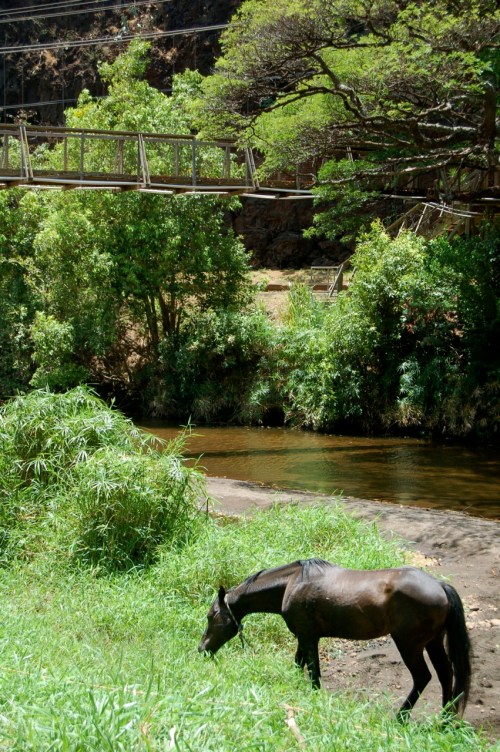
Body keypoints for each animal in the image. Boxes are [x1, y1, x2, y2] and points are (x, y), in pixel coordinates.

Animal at [198, 559, 471, 720]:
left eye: (211, 615)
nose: (202, 648)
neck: (292, 583)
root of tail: (440, 586)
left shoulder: (308, 638)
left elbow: (314, 673)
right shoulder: (304, 637)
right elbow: (299, 666)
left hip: (409, 645)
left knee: (423, 677)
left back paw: (401, 718)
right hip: (433, 643)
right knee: (446, 675)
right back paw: (444, 720)